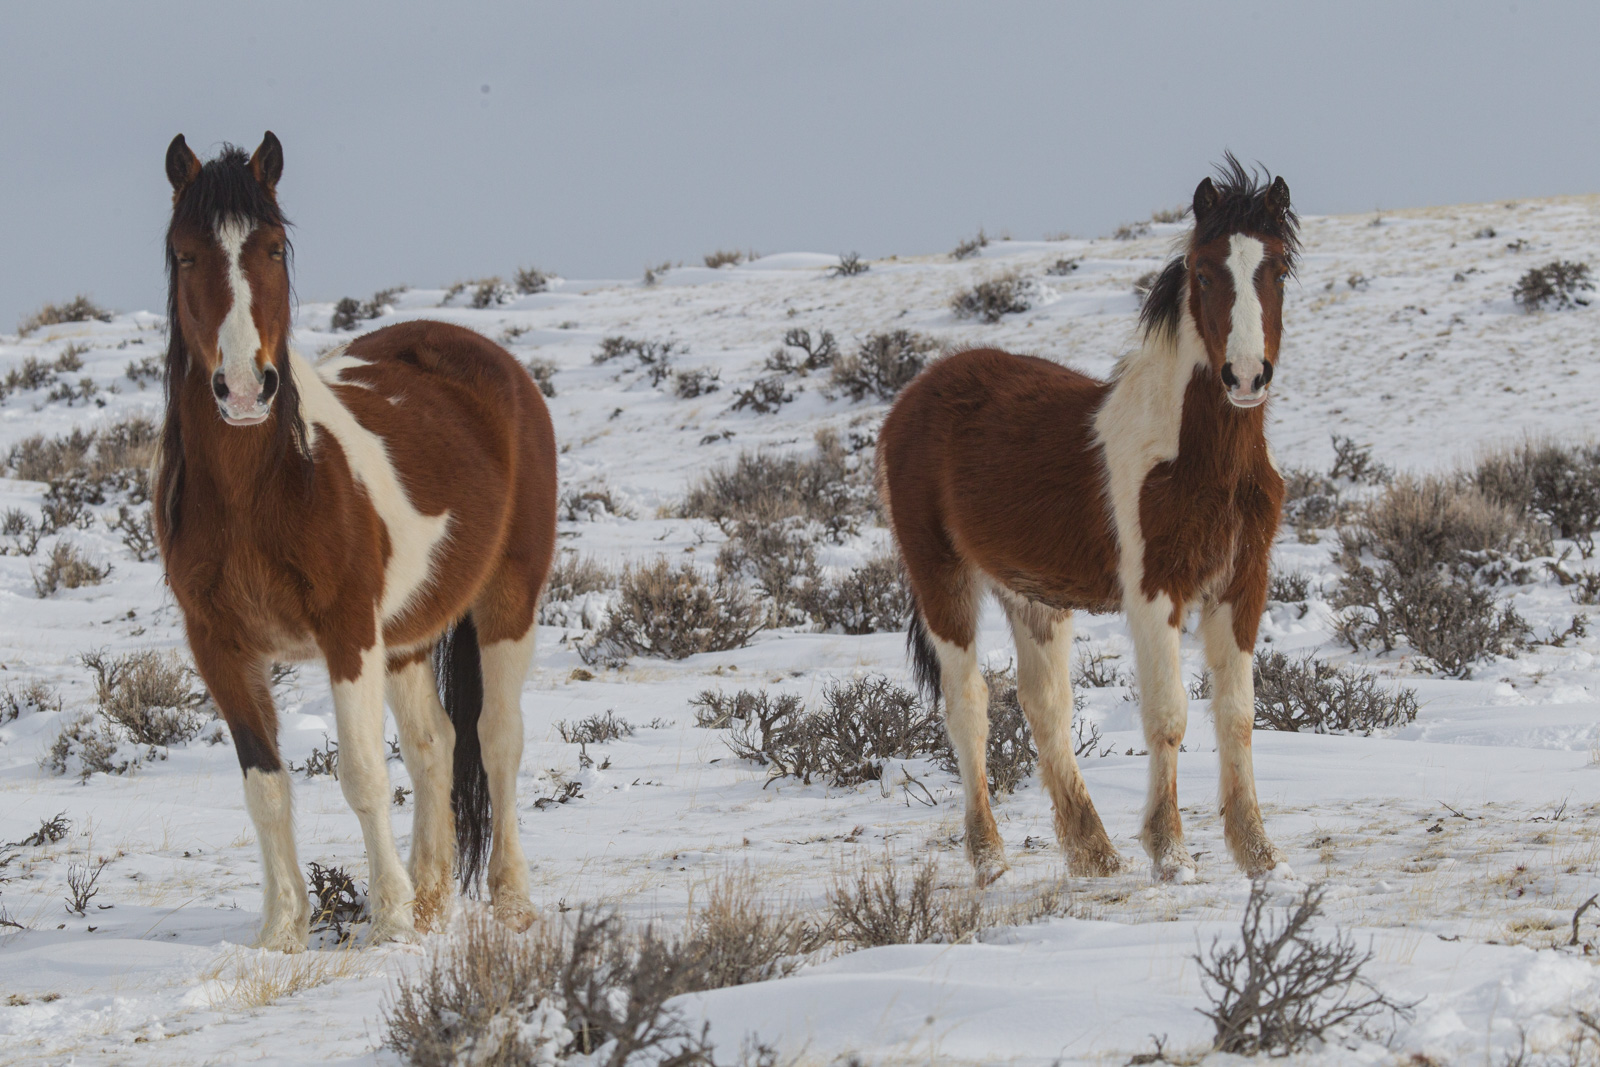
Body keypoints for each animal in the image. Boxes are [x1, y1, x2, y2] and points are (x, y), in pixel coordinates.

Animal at [156, 135, 556, 953]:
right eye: (184, 254)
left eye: (274, 248)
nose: (242, 388)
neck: (265, 485)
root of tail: (486, 358)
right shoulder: (219, 645)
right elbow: (266, 786)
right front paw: (283, 931)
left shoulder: (347, 631)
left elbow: (364, 774)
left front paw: (388, 918)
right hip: (405, 635)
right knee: (437, 745)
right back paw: (433, 900)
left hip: (508, 601)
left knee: (497, 738)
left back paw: (508, 901)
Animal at [876, 158, 1299, 883]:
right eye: (1205, 272)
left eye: (1274, 270)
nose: (1245, 377)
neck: (1194, 456)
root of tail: (913, 397)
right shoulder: (1155, 591)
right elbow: (1168, 714)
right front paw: (1170, 854)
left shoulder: (1242, 586)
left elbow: (1238, 714)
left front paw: (1260, 854)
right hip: (942, 581)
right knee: (969, 707)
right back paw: (989, 859)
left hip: (1034, 599)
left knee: (1044, 707)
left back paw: (1093, 852)